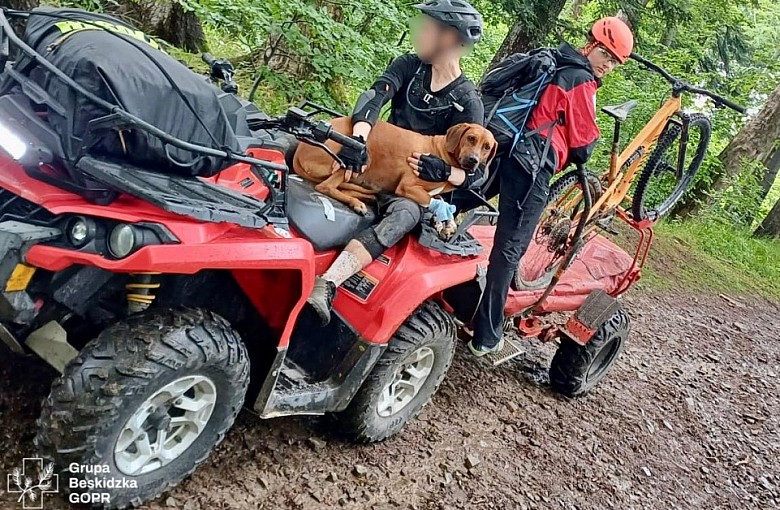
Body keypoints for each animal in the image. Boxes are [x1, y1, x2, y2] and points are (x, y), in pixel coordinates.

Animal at [290, 118, 496, 234]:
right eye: (471, 138)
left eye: (487, 147)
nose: (473, 160)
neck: (445, 159)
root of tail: (299, 152)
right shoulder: (408, 187)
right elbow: (433, 201)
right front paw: (442, 216)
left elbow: (439, 200)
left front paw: (446, 223)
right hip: (361, 155)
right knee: (325, 186)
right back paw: (356, 202)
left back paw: (363, 198)